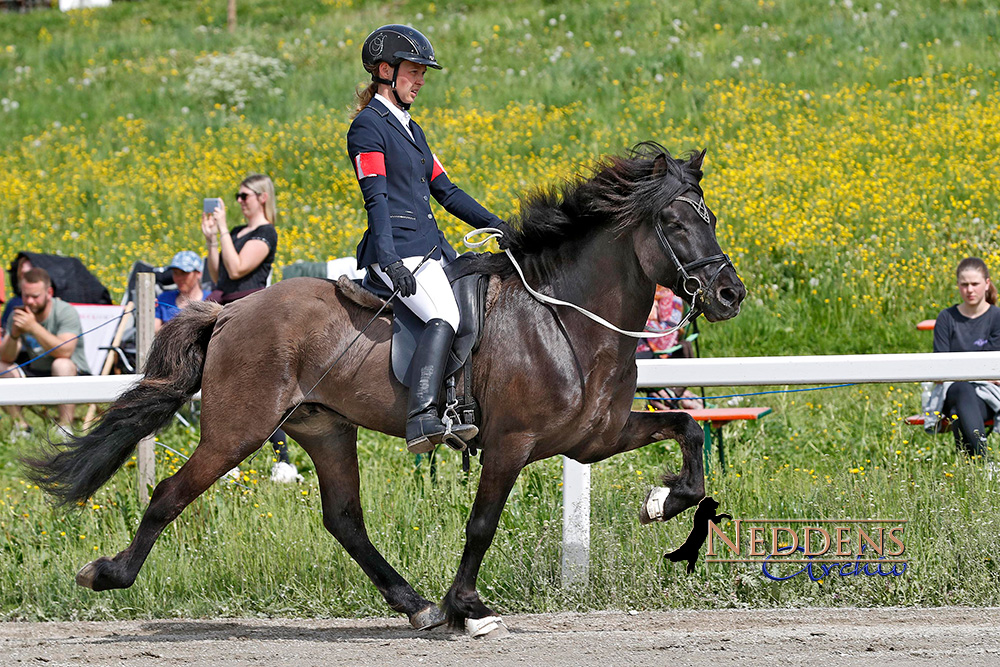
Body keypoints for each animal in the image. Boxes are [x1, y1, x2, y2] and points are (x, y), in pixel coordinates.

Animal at [25, 145, 744, 636]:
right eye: (676, 223)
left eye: (710, 215)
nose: (729, 294)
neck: (563, 315)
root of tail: (232, 311)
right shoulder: (511, 443)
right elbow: (482, 523)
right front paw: (466, 606)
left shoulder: (594, 438)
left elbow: (686, 432)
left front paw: (661, 501)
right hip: (238, 430)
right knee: (170, 494)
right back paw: (107, 572)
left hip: (323, 426)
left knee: (343, 518)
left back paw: (414, 603)